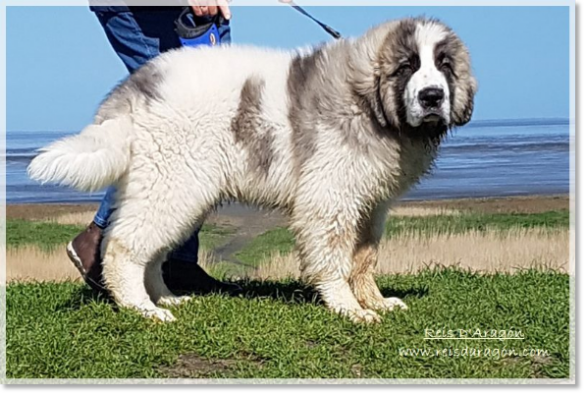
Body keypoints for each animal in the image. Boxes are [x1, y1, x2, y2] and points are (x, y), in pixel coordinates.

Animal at [28, 17, 474, 324]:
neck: (370, 106)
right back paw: (142, 308)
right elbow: (333, 258)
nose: (432, 96)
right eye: (407, 66)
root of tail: (133, 90)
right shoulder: (328, 199)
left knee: (151, 251)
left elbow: (365, 258)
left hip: (181, 193)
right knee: (123, 246)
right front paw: (349, 308)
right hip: (171, 185)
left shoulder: (371, 203)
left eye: (444, 66)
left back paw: (165, 297)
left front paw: (375, 300)